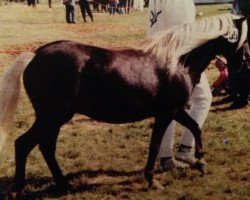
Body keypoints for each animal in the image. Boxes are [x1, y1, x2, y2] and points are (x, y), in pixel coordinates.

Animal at [0, 13, 247, 198]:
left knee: (45, 147)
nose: (242, 66)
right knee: (23, 144)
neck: (178, 62)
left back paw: (64, 185)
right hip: (52, 116)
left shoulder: (175, 110)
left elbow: (195, 127)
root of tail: (35, 55)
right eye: (244, 39)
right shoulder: (166, 113)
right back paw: (17, 190)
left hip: (56, 118)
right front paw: (152, 180)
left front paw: (201, 162)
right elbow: (155, 145)